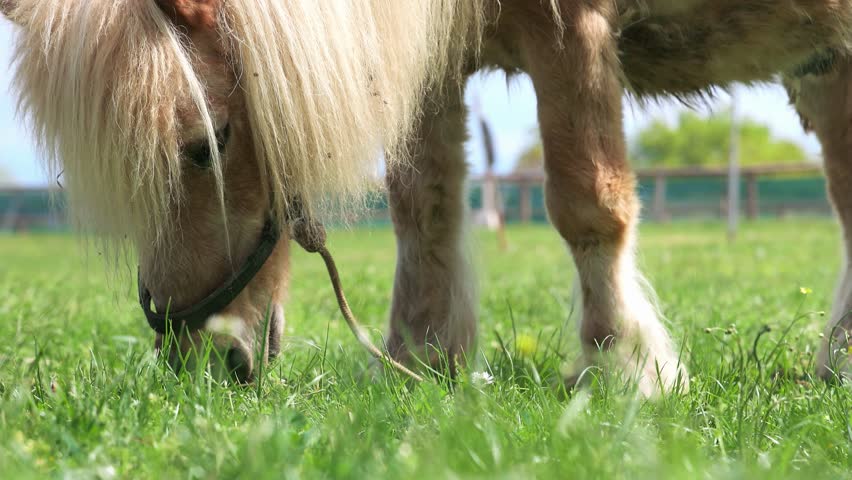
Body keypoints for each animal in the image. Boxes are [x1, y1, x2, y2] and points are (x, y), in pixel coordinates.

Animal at [3, 0, 852, 395]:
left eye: (207, 143)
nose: (204, 358)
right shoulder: (431, 61)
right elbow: (423, 203)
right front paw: (422, 356)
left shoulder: (570, 30)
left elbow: (588, 201)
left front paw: (624, 364)